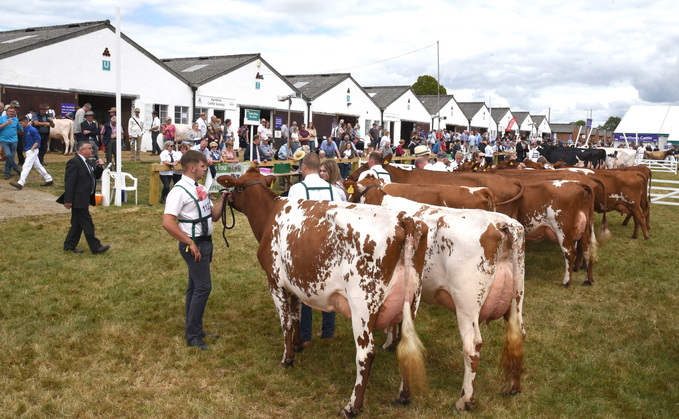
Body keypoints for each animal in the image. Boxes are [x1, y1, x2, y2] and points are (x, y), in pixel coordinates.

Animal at [218, 169, 430, 418]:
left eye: (237, 187)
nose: (226, 197)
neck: (270, 214)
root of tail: (403, 219)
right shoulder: (294, 282)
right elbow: (296, 315)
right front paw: (298, 346)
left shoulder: (275, 281)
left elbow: (285, 322)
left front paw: (287, 359)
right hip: (412, 301)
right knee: (406, 344)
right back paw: (404, 396)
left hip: (362, 305)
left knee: (366, 353)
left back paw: (352, 406)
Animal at [346, 176, 524, 414]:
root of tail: (501, 224)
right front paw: (392, 342)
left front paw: (389, 342)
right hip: (517, 296)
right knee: (518, 334)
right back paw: (512, 387)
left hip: (467, 305)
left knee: (472, 346)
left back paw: (464, 400)